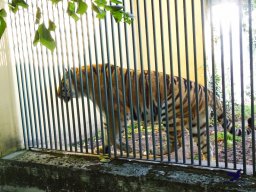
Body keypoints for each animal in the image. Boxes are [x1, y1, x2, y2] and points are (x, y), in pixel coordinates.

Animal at [56, 63, 250, 160]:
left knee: (176, 143)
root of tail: (206, 89)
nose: (57, 94)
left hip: (169, 113)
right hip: (198, 124)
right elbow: (106, 134)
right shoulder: (107, 115)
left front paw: (127, 149)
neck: (85, 85)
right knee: (207, 147)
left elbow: (113, 136)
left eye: (62, 83)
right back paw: (206, 163)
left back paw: (153, 152)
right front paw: (101, 149)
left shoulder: (118, 112)